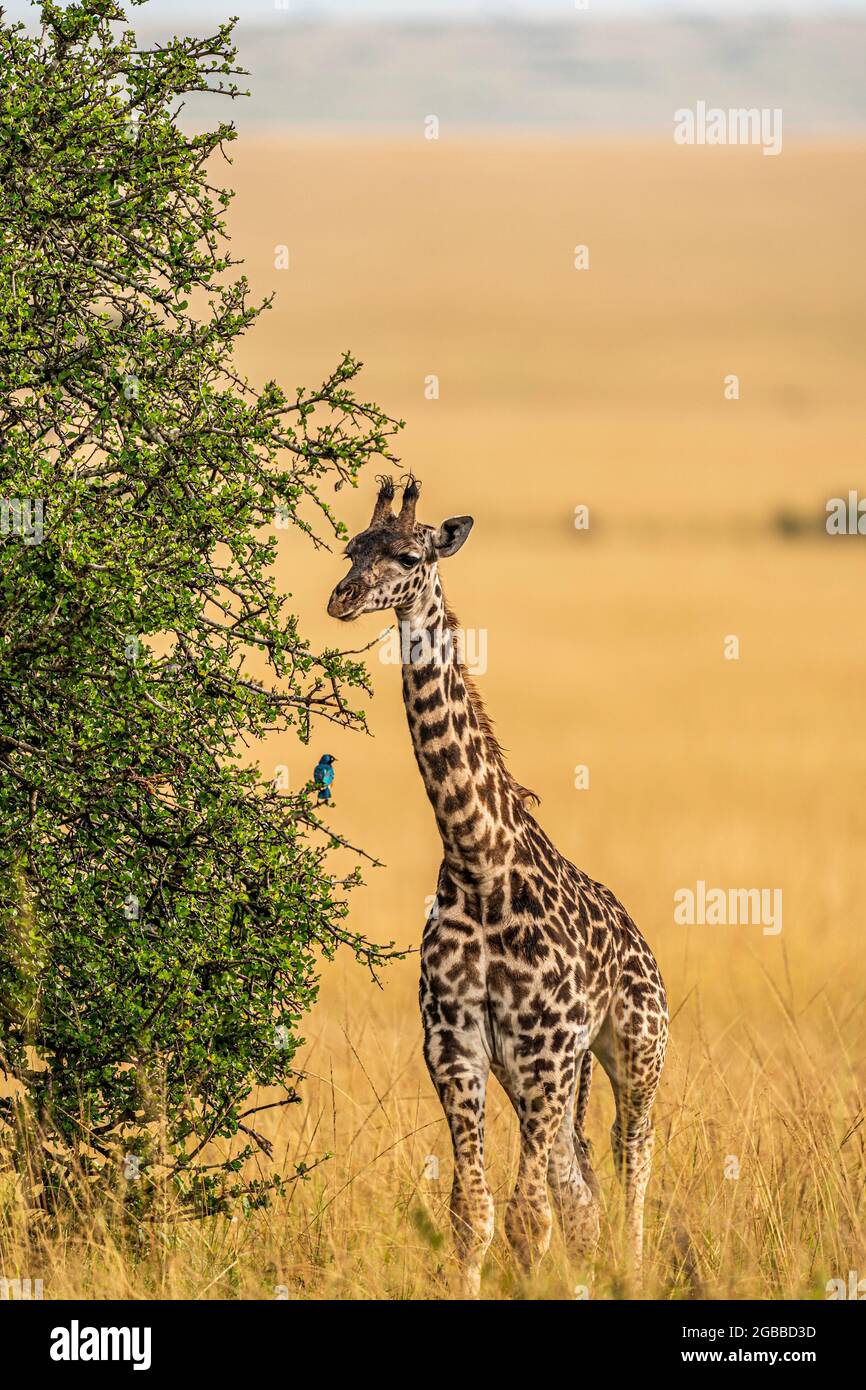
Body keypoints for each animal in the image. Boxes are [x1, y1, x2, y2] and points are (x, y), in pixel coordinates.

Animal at [326, 475, 670, 1289]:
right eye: (352, 547)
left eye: (409, 555)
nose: (343, 598)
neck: (480, 860)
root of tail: (640, 940)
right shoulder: (456, 1047)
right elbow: (475, 1217)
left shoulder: (546, 1050)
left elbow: (526, 1218)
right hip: (544, 1074)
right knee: (583, 1193)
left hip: (634, 1052)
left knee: (630, 1161)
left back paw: (634, 1271)